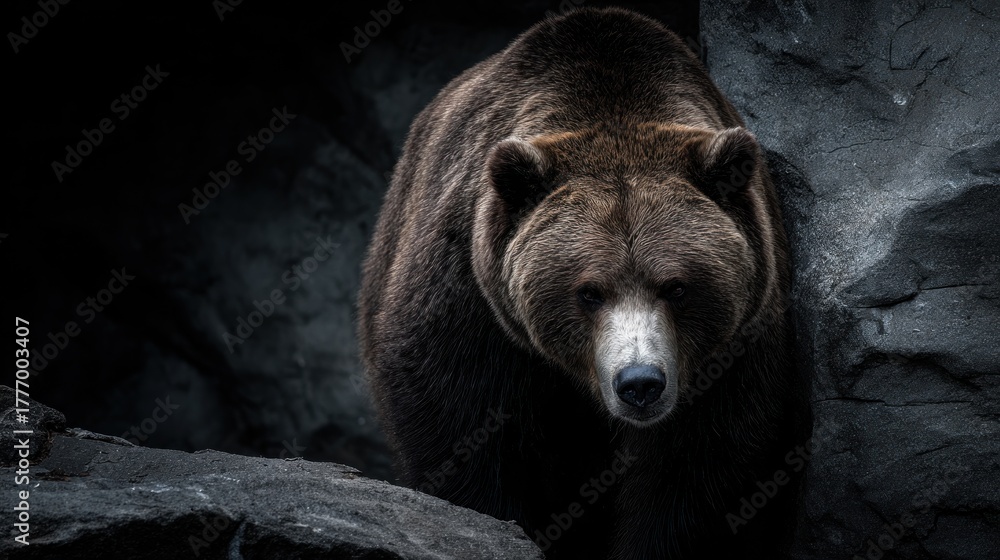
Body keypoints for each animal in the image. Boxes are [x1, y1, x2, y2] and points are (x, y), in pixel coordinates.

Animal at [358, 7, 809, 559]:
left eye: (677, 287)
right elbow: (457, 418)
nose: (640, 383)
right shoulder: (470, 290)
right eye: (589, 291)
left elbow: (700, 462)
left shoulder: (737, 339)